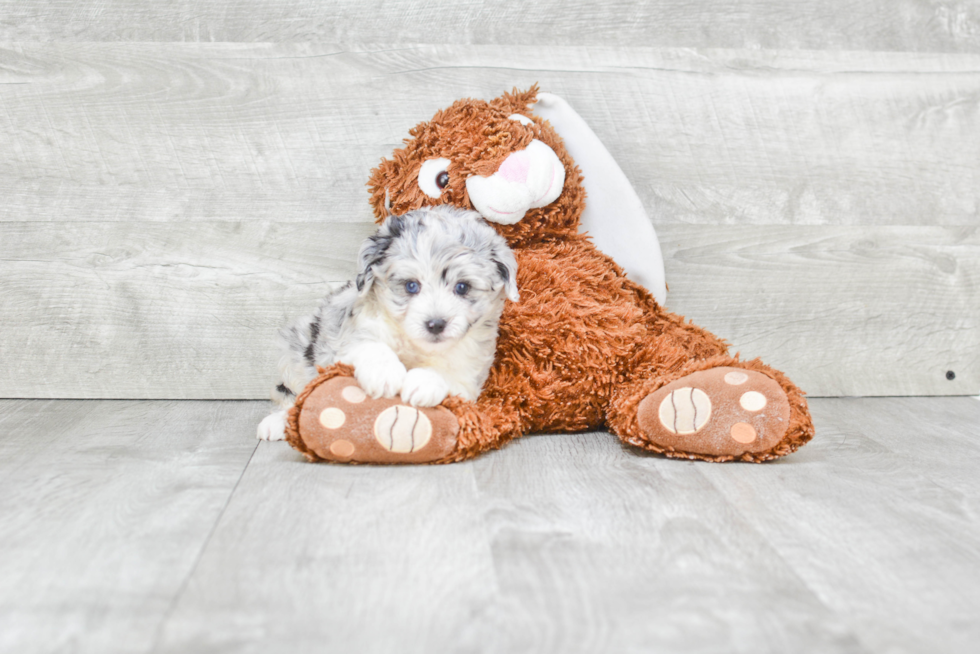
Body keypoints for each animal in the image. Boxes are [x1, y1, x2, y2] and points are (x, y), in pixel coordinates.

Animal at [260, 205, 520, 440]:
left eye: (462, 287)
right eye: (411, 286)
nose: (436, 324)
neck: (416, 346)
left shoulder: (470, 372)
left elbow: (448, 374)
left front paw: (423, 383)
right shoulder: (347, 341)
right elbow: (371, 347)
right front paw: (384, 374)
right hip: (296, 352)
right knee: (292, 394)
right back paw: (276, 422)